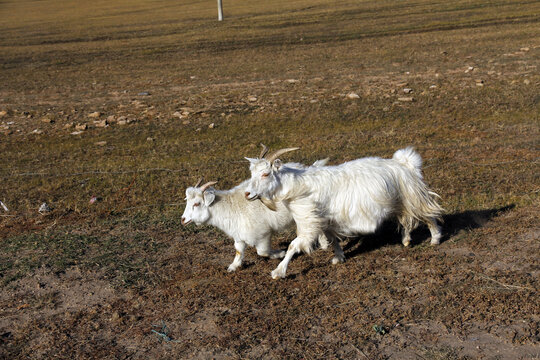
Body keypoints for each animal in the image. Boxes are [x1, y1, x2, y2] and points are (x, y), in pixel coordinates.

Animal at [184, 148, 332, 272]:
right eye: (187, 202)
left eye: (196, 204)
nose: (183, 219)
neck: (231, 207)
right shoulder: (239, 235)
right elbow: (238, 250)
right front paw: (233, 266)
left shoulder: (263, 234)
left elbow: (262, 252)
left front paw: (279, 253)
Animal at [245, 146, 442, 278]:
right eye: (252, 173)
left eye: (265, 174)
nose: (247, 194)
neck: (296, 185)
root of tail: (404, 164)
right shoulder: (326, 219)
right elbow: (332, 238)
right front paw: (338, 257)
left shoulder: (309, 221)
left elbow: (293, 246)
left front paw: (278, 271)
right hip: (399, 201)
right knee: (405, 219)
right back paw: (406, 240)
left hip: (412, 197)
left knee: (428, 216)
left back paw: (435, 239)